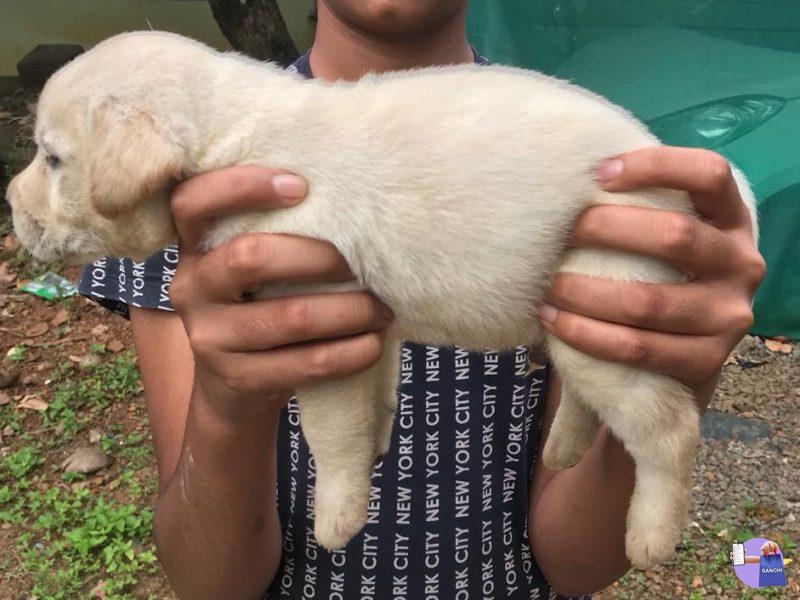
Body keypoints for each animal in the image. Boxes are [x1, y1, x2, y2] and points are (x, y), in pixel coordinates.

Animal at [6, 32, 756, 568]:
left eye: (52, 159)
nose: (10, 205)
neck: (232, 130)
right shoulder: (366, 324)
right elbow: (373, 406)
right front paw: (371, 455)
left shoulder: (317, 311)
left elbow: (328, 432)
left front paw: (337, 518)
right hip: (580, 309)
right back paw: (566, 448)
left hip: (611, 289)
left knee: (667, 426)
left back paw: (652, 534)